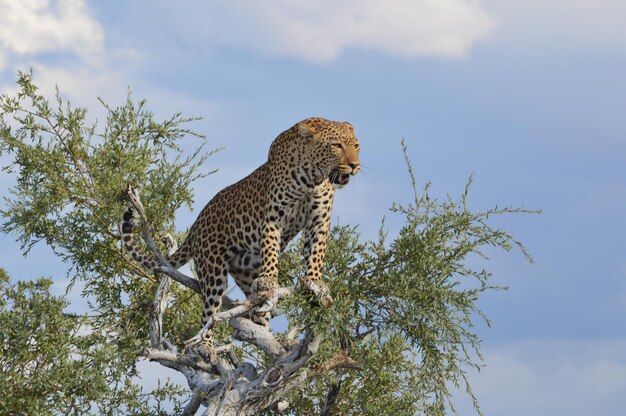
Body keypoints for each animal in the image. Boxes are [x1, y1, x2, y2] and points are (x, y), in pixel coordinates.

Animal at [119, 117, 358, 354]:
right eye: (337, 146)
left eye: (356, 146)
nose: (355, 165)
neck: (313, 178)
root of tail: (196, 226)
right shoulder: (273, 216)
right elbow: (271, 249)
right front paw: (270, 278)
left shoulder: (319, 220)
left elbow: (315, 252)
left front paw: (315, 281)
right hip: (213, 269)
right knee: (209, 313)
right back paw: (206, 346)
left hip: (245, 271)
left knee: (257, 312)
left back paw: (274, 340)